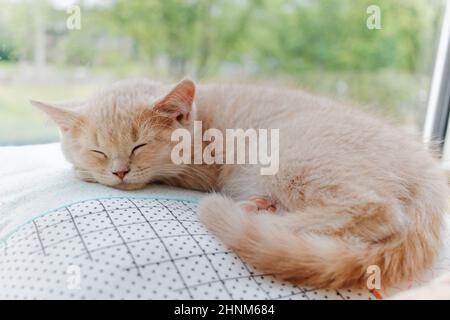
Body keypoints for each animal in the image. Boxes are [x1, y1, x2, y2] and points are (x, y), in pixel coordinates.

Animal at [30, 79, 446, 288]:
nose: (119, 172)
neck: (202, 123)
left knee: (378, 210)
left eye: (139, 145)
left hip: (289, 156)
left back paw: (255, 213)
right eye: (98, 150)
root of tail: (428, 172)